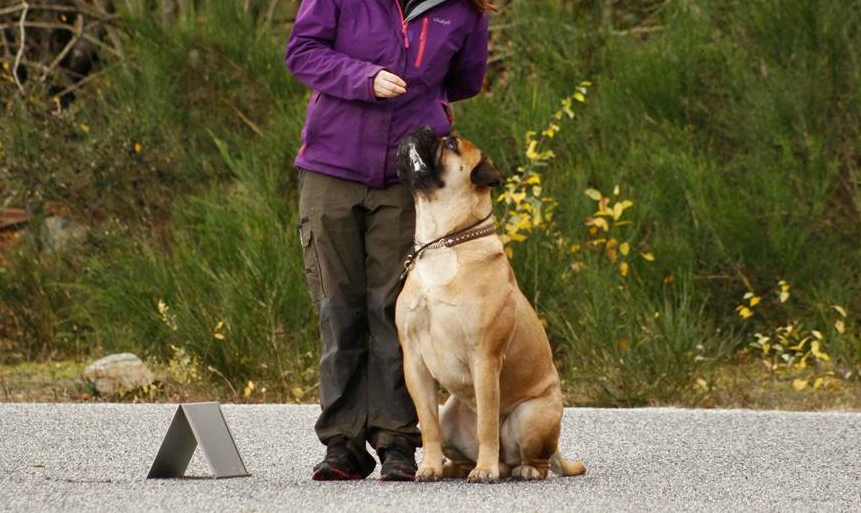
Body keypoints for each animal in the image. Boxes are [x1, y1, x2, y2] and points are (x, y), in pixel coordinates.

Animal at [394, 126, 584, 482]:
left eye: (450, 144)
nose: (423, 128)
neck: (443, 242)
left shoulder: (484, 357)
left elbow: (486, 424)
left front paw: (484, 470)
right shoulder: (414, 361)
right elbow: (427, 424)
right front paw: (428, 466)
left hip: (531, 415)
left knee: (531, 458)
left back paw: (519, 468)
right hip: (450, 416)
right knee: (458, 446)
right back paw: (451, 467)